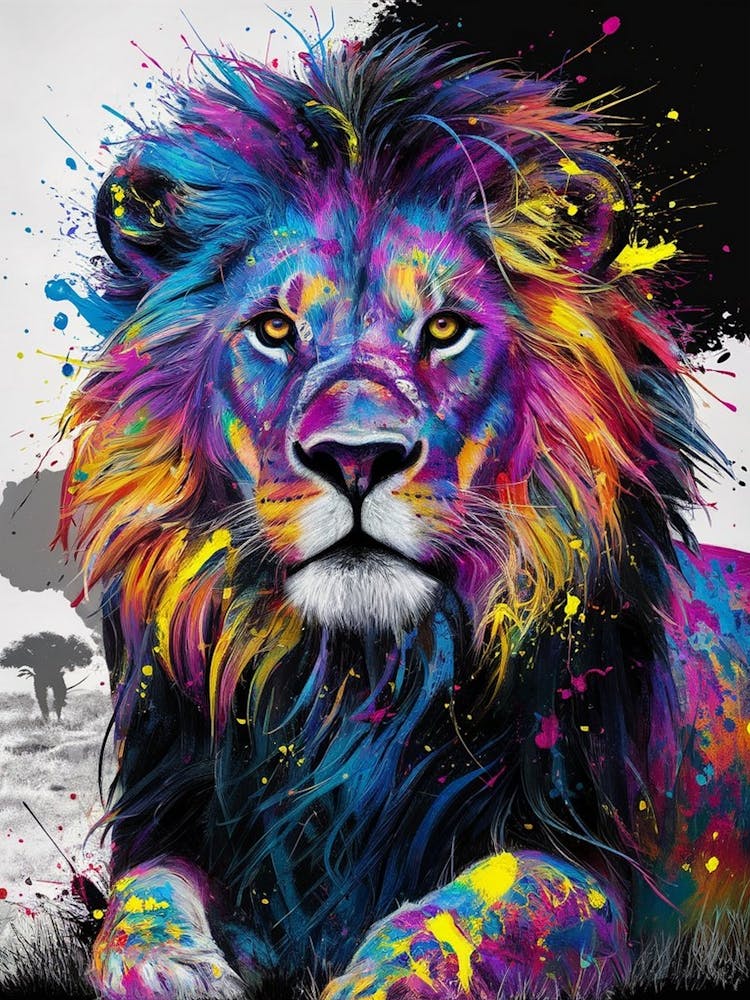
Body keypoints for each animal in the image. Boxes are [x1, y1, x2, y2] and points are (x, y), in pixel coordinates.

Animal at [55, 29, 749, 1000]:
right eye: (274, 330)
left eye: (446, 328)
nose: (357, 457)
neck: (354, 681)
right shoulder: (187, 819)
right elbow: (140, 901)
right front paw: (172, 971)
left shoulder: (586, 860)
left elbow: (486, 902)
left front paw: (373, 978)